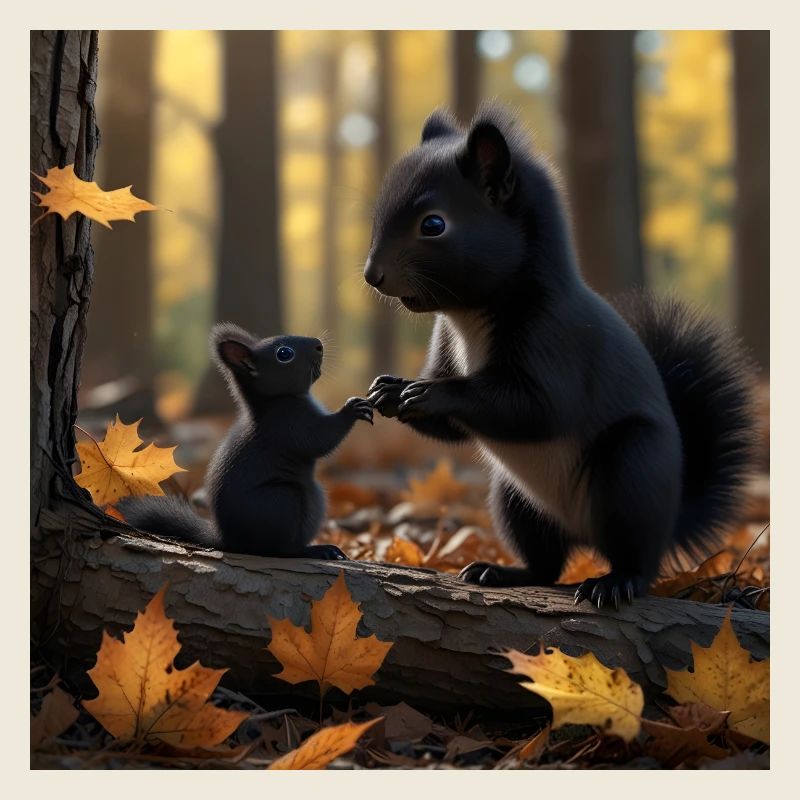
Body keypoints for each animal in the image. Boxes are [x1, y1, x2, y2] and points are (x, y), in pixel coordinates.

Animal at [117, 323, 373, 559]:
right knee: (282, 550)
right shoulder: (289, 425)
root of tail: (229, 540)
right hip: (281, 502)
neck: (274, 401)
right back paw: (315, 550)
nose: (319, 344)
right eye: (284, 354)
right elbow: (321, 439)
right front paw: (352, 409)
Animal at [364, 104, 758, 608]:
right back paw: (500, 571)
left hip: (631, 471)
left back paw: (613, 583)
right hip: (515, 500)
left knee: (637, 559)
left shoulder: (555, 340)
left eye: (433, 224)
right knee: (546, 564)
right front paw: (390, 389)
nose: (372, 275)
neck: (470, 314)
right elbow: (452, 430)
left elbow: (537, 408)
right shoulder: (446, 344)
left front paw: (430, 394)